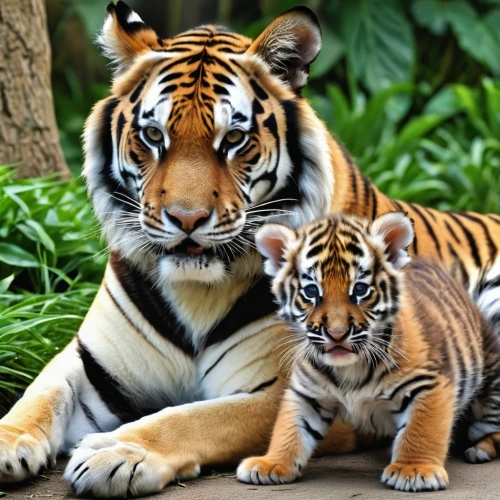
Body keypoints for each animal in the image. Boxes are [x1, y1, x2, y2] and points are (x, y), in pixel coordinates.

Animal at [0, 1, 498, 498]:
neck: (194, 291)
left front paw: (117, 451)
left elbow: (192, 418)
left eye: (234, 140)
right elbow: (40, 394)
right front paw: (10, 441)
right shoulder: (91, 366)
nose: (186, 219)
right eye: (154, 136)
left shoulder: (289, 388)